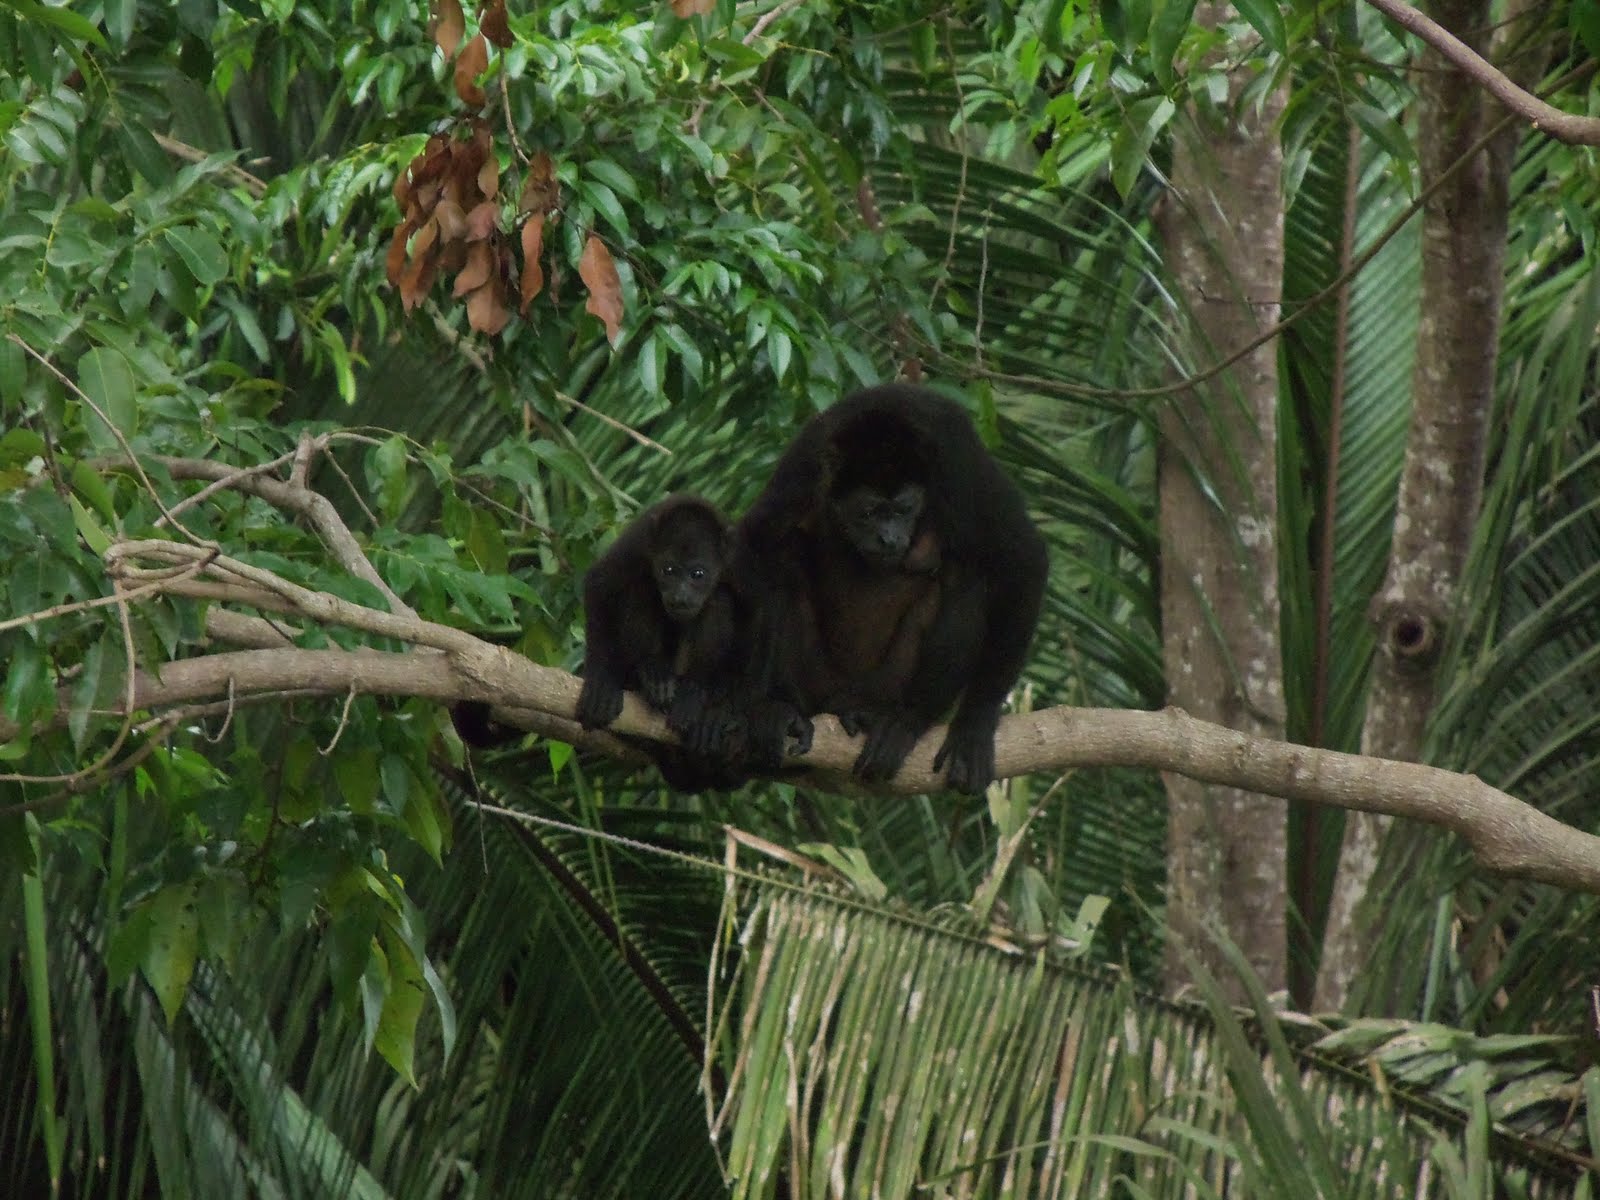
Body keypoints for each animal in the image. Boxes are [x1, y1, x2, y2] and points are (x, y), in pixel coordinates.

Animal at [735, 383, 1047, 793]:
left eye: (902, 509)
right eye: (868, 512)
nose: (889, 538)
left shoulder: (957, 454)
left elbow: (1022, 557)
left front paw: (975, 724)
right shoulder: (808, 456)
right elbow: (753, 539)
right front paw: (757, 706)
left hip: (885, 683)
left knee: (968, 576)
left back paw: (906, 718)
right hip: (815, 680)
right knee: (782, 553)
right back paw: (785, 709)